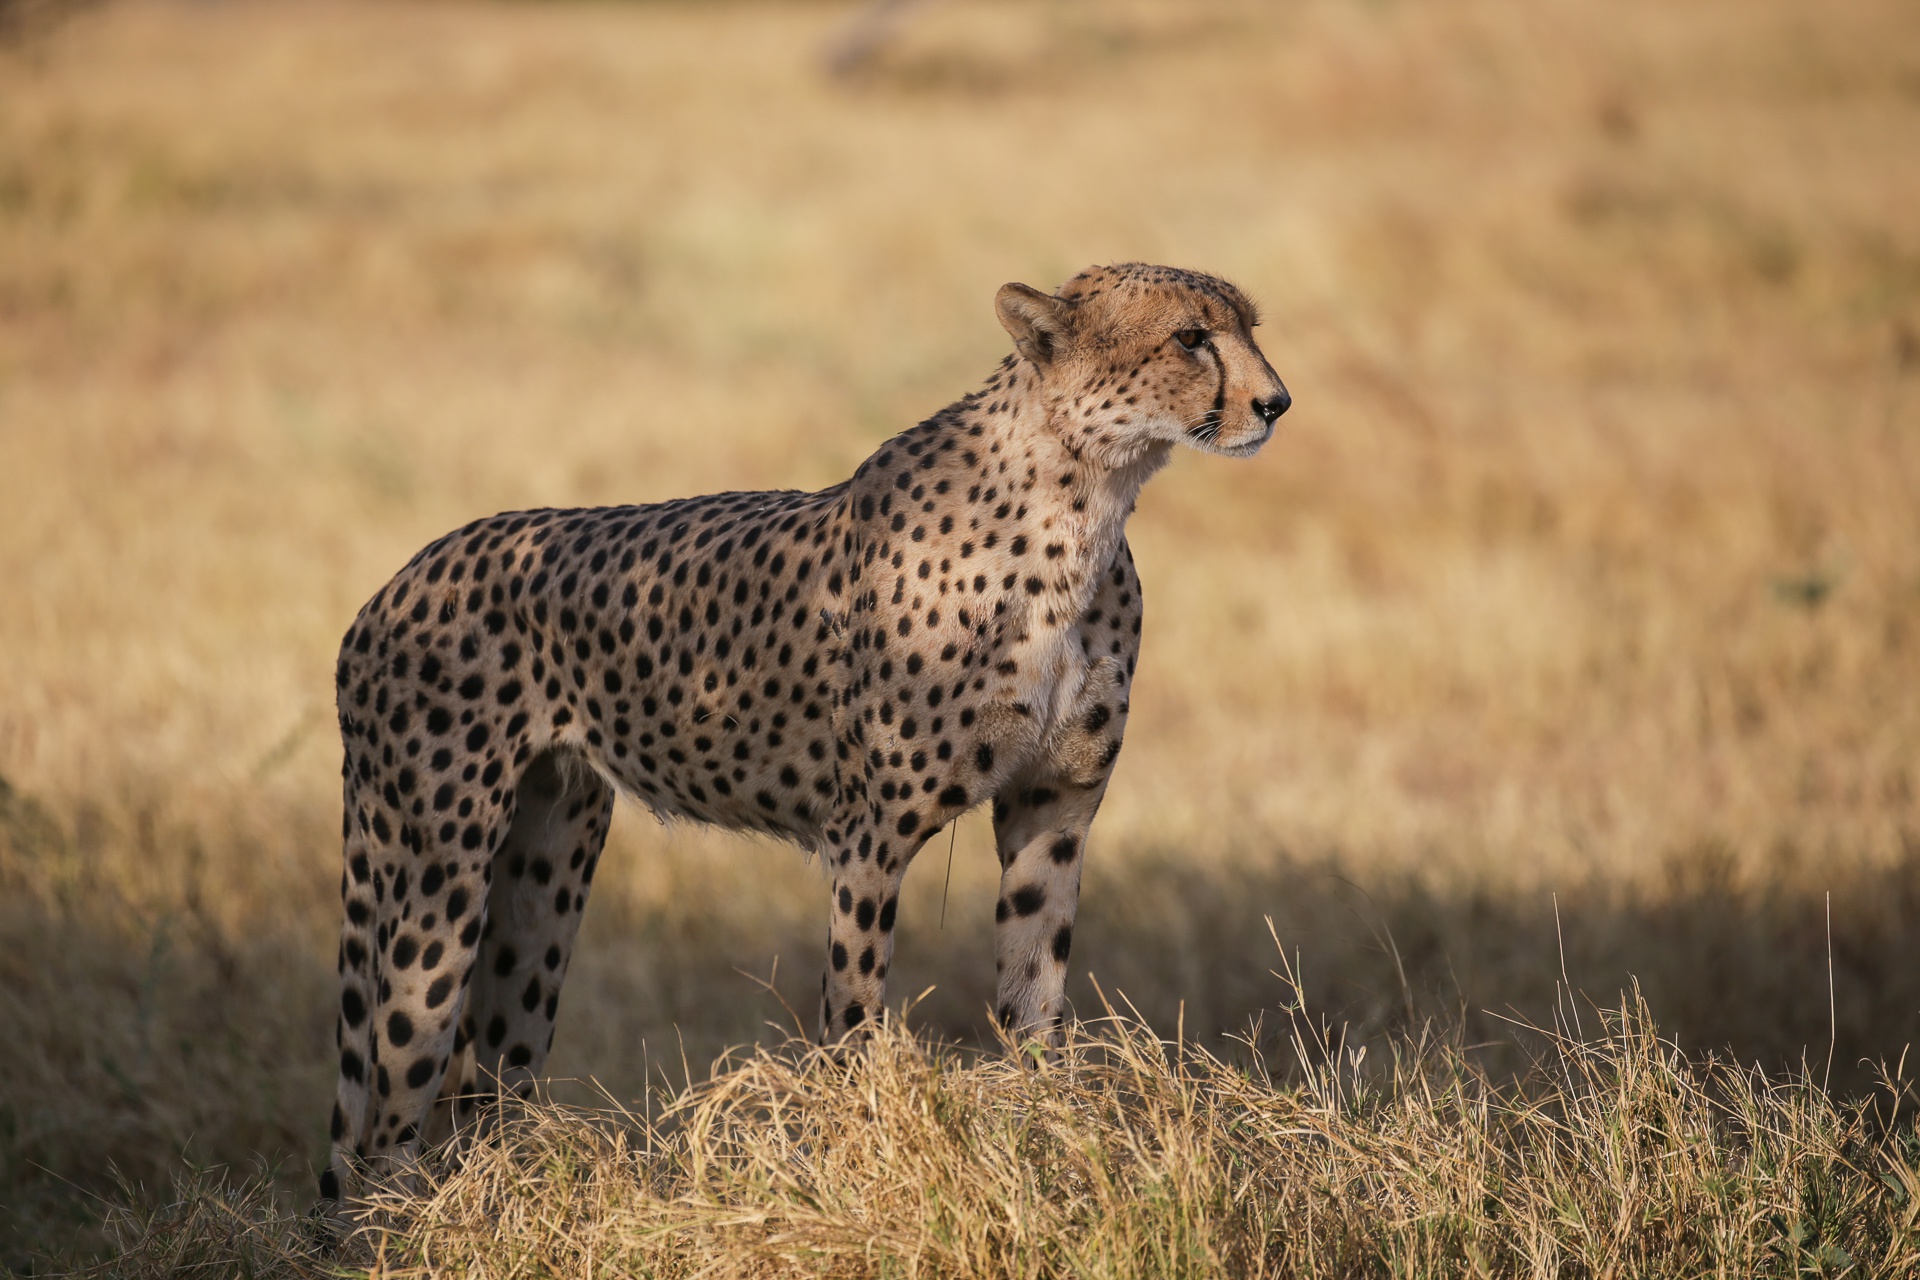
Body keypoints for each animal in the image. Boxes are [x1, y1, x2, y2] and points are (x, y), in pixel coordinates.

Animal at [322, 262, 1290, 1212]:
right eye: (1190, 337)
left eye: (1250, 327)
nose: (1276, 402)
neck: (1080, 501)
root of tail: (392, 585)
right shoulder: (868, 837)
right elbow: (853, 1017)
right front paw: (862, 1164)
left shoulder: (1051, 813)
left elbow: (1033, 996)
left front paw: (1046, 1136)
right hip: (436, 876)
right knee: (389, 1100)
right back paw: (402, 1230)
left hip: (545, 870)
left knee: (483, 1079)